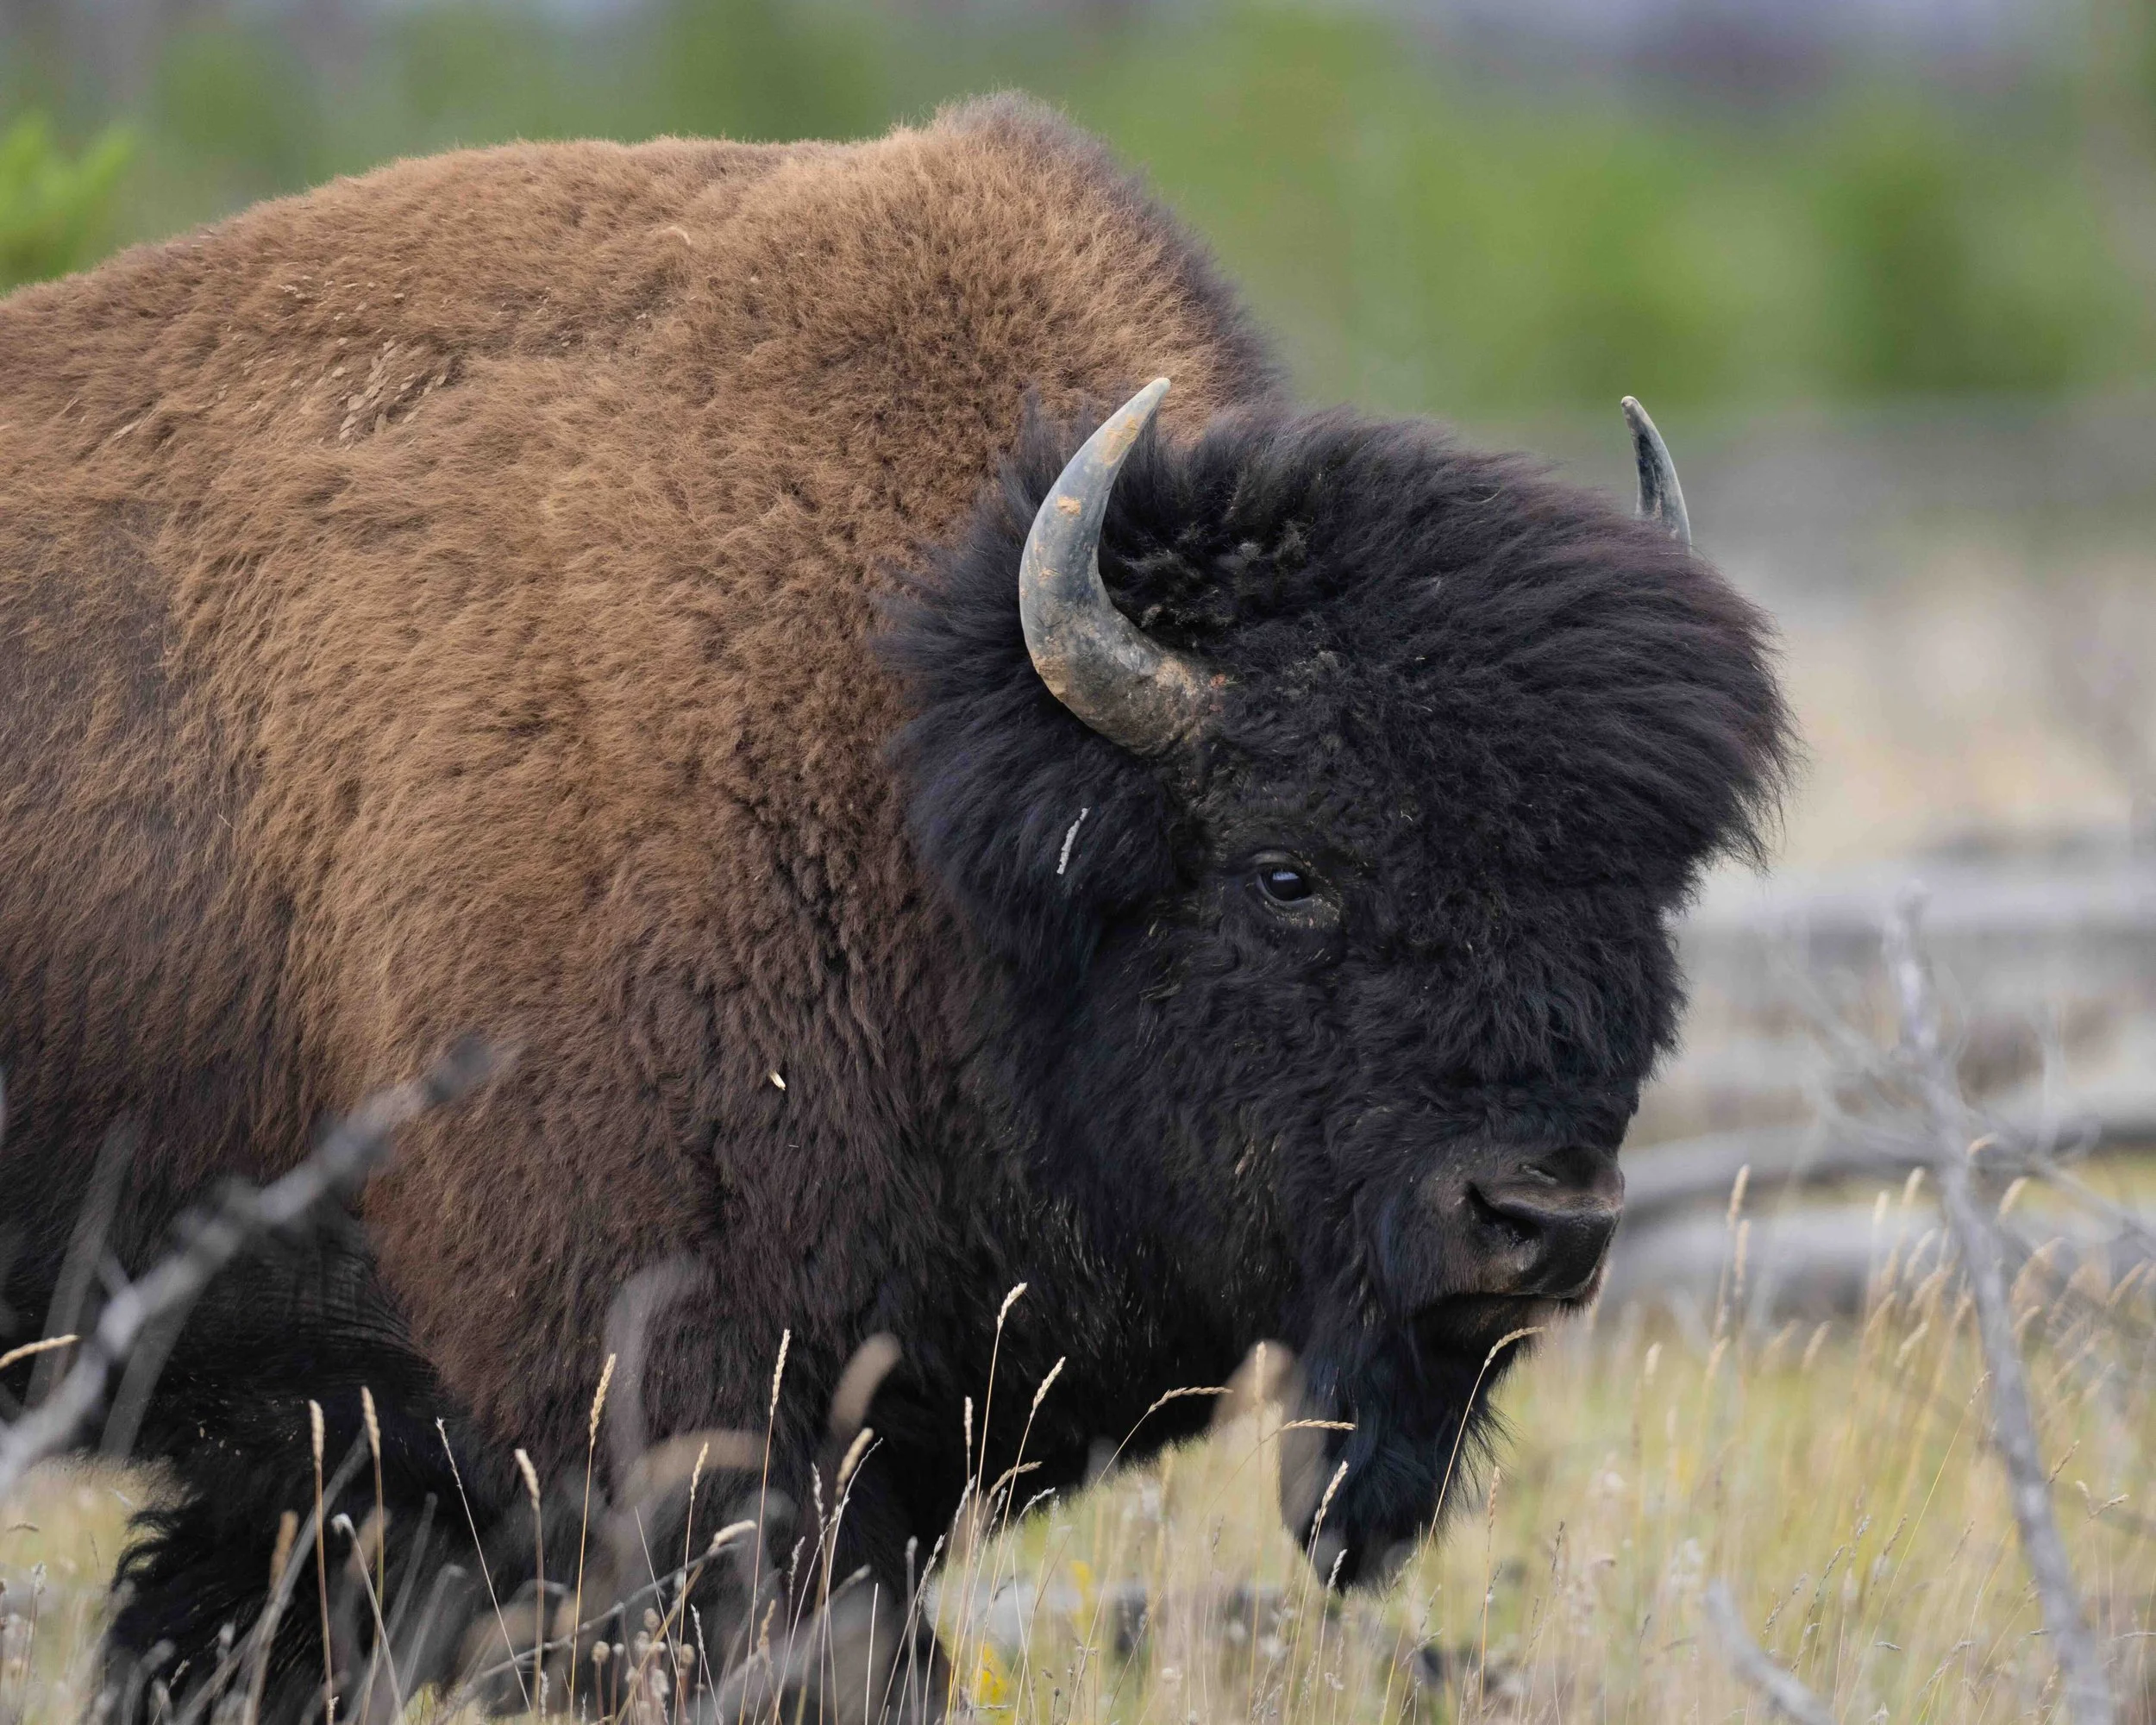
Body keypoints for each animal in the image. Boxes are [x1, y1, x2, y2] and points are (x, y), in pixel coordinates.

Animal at [0, 95, 1788, 1718]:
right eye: (1289, 869)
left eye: (1647, 891)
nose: (1542, 1220)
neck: (918, 762)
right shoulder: (665, 1418)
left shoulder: (355, 1463)